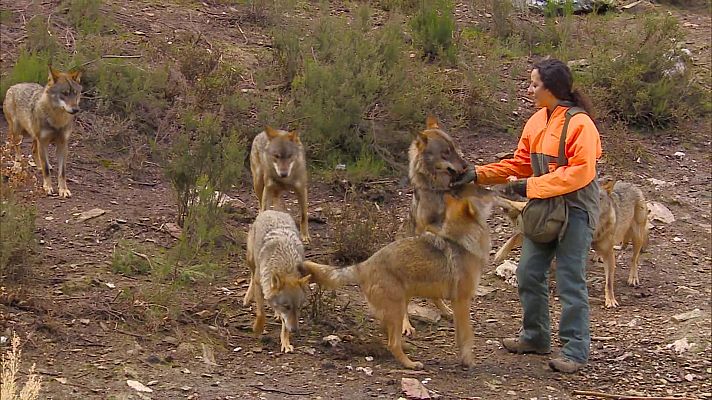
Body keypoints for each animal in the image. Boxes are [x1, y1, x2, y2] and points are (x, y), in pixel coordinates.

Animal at [3, 65, 82, 198]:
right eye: (64, 93)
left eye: (75, 94)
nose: (76, 109)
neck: (57, 120)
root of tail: (13, 86)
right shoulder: (43, 141)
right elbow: (46, 170)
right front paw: (48, 187)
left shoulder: (63, 144)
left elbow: (62, 172)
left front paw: (63, 190)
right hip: (18, 133)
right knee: (17, 149)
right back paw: (17, 165)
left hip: (34, 137)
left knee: (34, 150)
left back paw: (39, 165)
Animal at [243, 210, 311, 353]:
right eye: (287, 306)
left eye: (299, 308)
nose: (295, 330)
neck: (286, 265)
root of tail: (272, 211)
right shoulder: (260, 284)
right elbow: (261, 313)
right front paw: (257, 329)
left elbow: (285, 326)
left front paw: (286, 343)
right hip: (251, 260)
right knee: (251, 275)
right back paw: (247, 298)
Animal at [304, 192, 492, 369]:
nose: (493, 193)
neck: (461, 241)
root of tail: (363, 265)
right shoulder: (462, 301)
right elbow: (467, 336)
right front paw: (468, 361)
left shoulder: (456, 302)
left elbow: (460, 335)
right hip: (398, 307)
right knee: (392, 343)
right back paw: (410, 363)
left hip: (400, 303)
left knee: (387, 334)